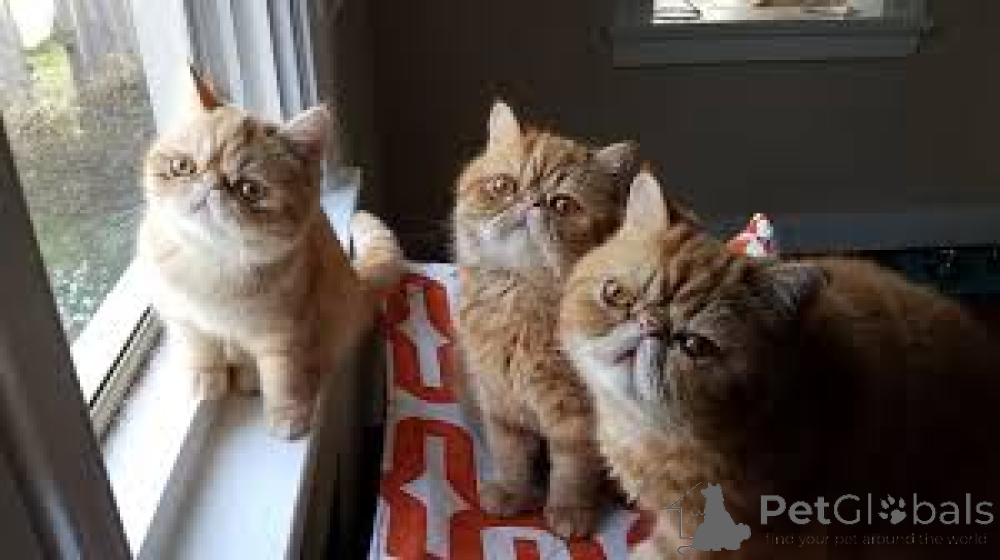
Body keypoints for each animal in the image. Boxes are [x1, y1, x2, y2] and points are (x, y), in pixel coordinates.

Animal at [138, 68, 403, 439]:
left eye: (249, 189)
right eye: (182, 167)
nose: (211, 185)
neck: (211, 262)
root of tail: (356, 282)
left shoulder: (285, 333)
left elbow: (284, 376)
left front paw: (288, 414)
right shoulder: (182, 316)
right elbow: (200, 346)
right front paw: (206, 379)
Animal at [453, 100, 639, 538]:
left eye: (562, 204)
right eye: (504, 186)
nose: (532, 202)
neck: (520, 304)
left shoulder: (578, 418)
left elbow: (571, 471)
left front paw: (568, 511)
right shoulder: (499, 403)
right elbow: (510, 456)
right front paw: (513, 492)